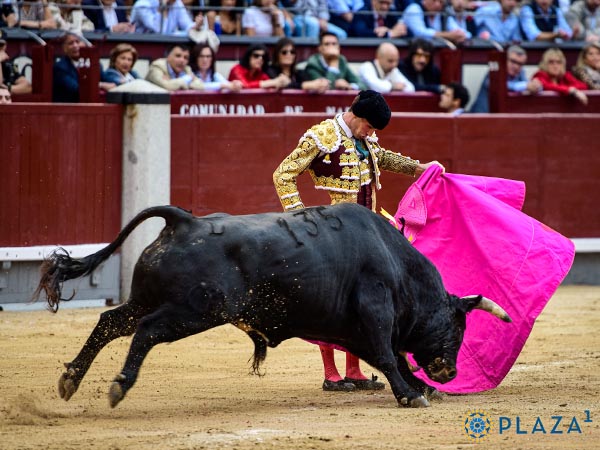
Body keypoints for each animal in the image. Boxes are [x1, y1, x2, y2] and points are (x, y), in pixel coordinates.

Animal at [34, 204, 510, 408]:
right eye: (458, 326)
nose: (449, 372)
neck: (398, 267)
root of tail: (183, 221)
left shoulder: (360, 327)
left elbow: (391, 356)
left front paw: (420, 387)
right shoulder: (375, 313)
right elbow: (389, 356)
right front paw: (412, 395)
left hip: (147, 298)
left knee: (111, 322)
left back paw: (70, 380)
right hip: (194, 312)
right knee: (146, 331)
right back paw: (118, 386)